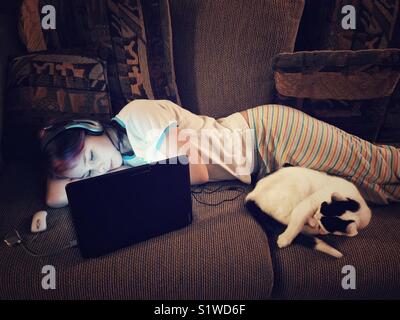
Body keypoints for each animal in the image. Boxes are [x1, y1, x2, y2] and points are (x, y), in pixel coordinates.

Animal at [244, 166, 372, 258]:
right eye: (322, 205)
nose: (316, 216)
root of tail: (252, 194)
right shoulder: (309, 202)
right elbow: (297, 222)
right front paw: (285, 238)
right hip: (299, 188)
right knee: (286, 219)